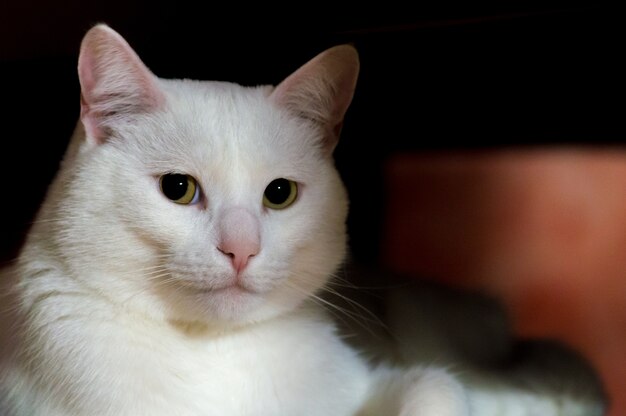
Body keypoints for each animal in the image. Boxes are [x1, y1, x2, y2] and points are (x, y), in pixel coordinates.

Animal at [0, 24, 604, 414]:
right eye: (177, 189)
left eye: (280, 194)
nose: (241, 250)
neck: (216, 352)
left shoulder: (392, 386)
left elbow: (434, 392)